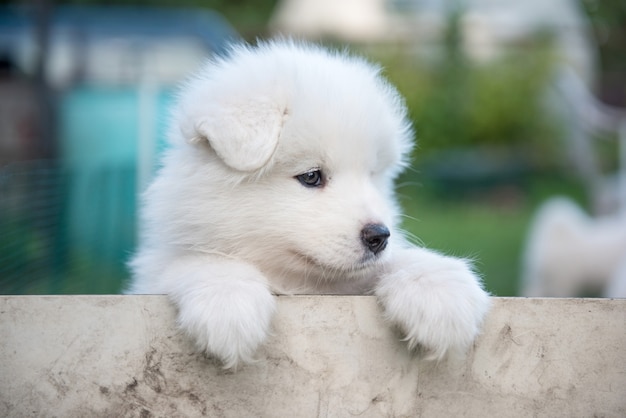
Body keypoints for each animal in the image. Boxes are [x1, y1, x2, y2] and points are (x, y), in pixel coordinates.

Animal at [129, 40, 490, 370]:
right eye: (312, 176)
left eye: (371, 176)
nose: (379, 236)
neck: (299, 284)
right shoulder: (156, 273)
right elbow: (198, 261)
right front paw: (228, 304)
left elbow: (399, 260)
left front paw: (440, 292)